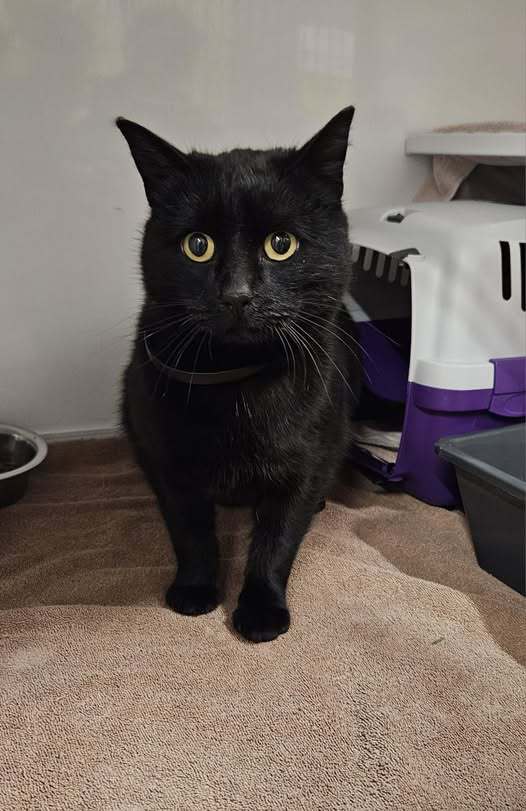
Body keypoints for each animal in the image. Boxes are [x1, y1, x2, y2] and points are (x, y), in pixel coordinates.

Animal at [116, 106, 361, 642]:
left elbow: (276, 541)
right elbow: (190, 532)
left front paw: (262, 610)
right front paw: (195, 590)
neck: (238, 383)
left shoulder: (305, 463)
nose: (237, 294)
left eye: (282, 244)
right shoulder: (168, 459)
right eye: (198, 245)